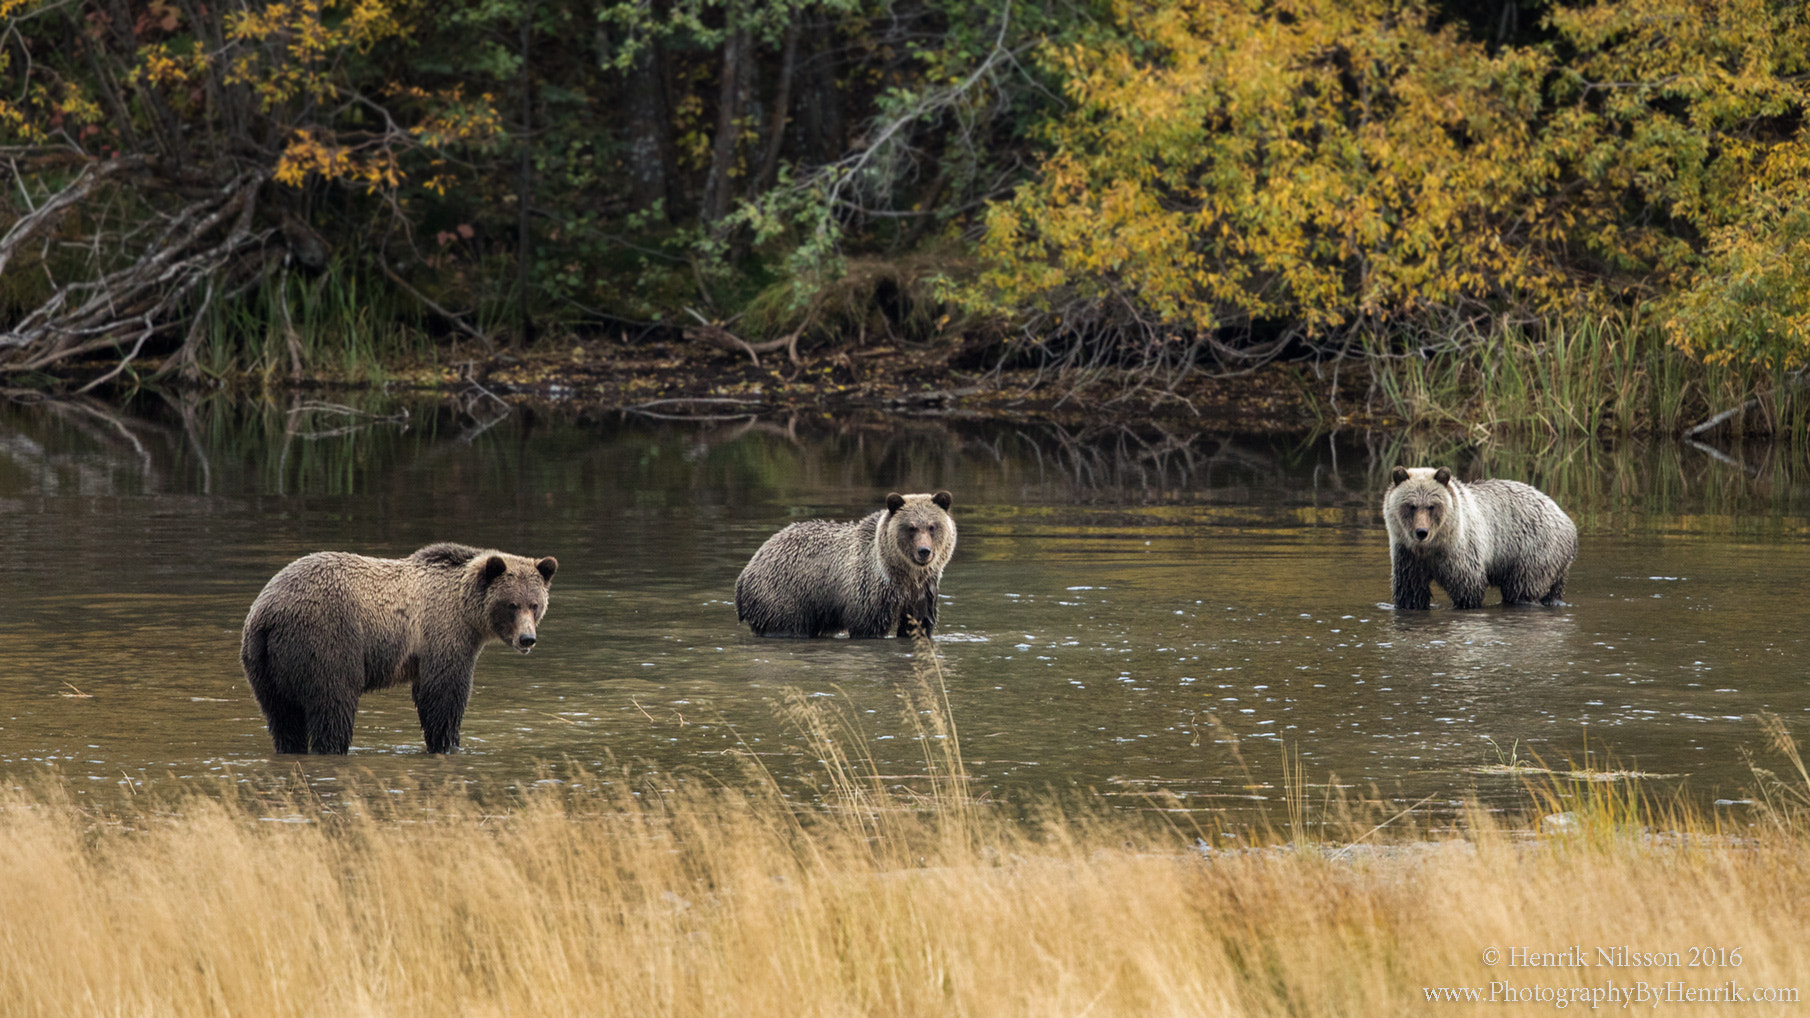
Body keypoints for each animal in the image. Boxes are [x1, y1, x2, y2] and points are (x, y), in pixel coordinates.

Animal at [240, 539, 553, 753]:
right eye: (512, 604)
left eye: (534, 604)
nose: (527, 639)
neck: (467, 613)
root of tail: (266, 614)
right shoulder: (443, 634)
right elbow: (443, 695)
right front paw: (447, 742)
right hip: (325, 641)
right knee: (333, 706)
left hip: (264, 667)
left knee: (282, 718)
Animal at [734, 489, 962, 633]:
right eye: (911, 527)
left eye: (932, 526)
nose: (924, 551)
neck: (905, 575)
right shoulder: (870, 593)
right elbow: (867, 626)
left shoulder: (923, 594)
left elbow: (918, 626)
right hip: (784, 597)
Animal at [1382, 463, 1571, 605]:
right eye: (1411, 506)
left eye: (1432, 506)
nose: (1422, 532)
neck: (1432, 546)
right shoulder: (1408, 556)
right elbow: (1410, 593)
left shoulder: (1460, 551)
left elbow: (1467, 589)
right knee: (1553, 591)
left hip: (1533, 552)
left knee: (1522, 589)